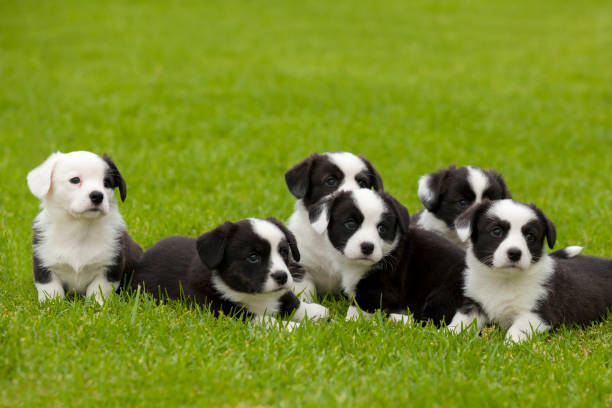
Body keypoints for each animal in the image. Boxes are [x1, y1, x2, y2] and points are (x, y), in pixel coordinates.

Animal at [27, 151, 143, 304]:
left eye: (107, 183)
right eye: (75, 180)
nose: (97, 195)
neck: (81, 228)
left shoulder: (109, 266)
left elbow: (99, 289)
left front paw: (97, 304)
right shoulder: (44, 263)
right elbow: (51, 288)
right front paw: (51, 304)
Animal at [131, 217, 328, 328]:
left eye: (284, 251)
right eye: (253, 257)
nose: (282, 276)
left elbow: (293, 302)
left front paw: (316, 312)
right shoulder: (233, 314)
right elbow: (269, 321)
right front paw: (295, 328)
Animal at [308, 189, 466, 326]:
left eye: (382, 228)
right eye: (350, 224)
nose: (367, 247)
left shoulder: (379, 288)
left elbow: (359, 307)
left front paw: (348, 323)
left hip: (445, 293)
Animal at [448, 199, 612, 342]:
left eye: (529, 236)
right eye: (496, 231)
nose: (515, 253)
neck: (504, 280)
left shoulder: (539, 314)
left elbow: (517, 330)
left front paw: (508, 346)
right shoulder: (474, 304)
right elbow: (460, 321)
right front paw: (448, 336)